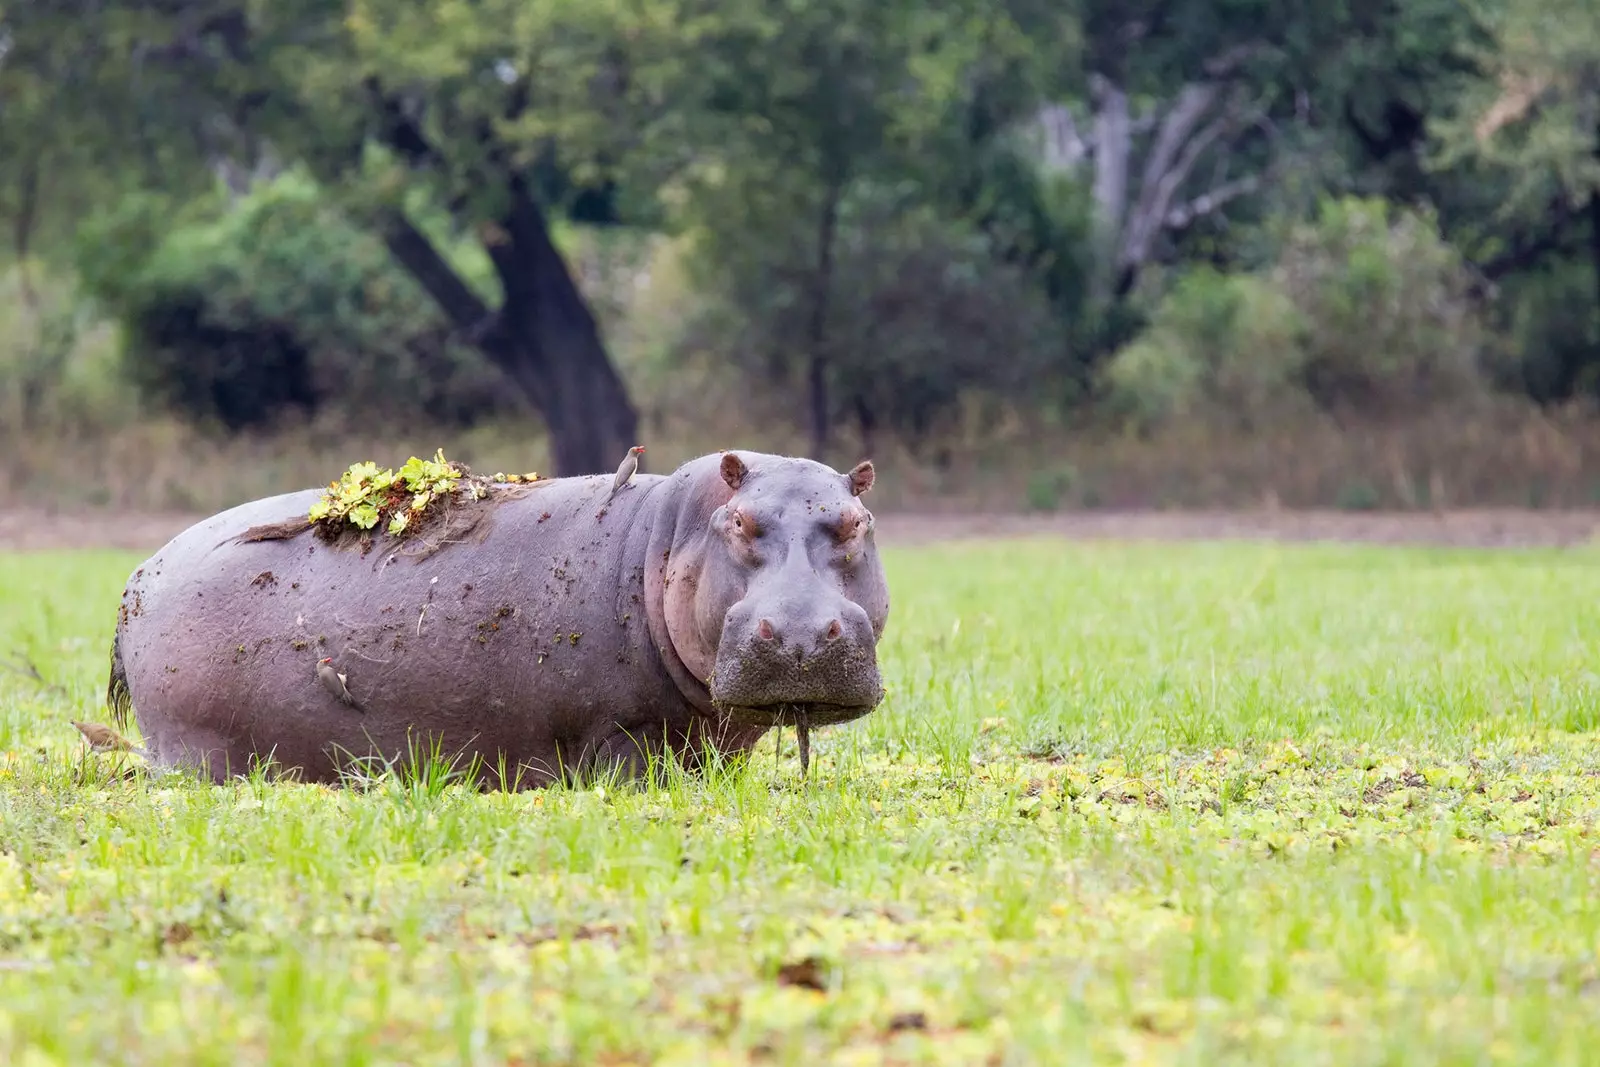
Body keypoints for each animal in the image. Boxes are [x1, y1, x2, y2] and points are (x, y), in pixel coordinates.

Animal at [106, 447, 896, 790]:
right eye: (739, 522)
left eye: (857, 522)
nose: (800, 634)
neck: (668, 532)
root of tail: (140, 573)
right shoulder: (620, 734)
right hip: (196, 743)